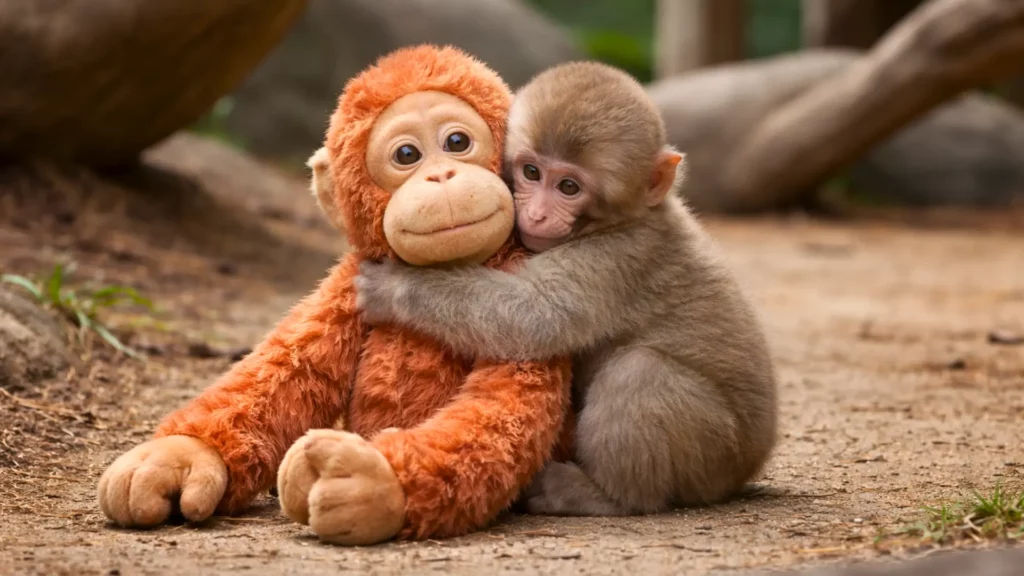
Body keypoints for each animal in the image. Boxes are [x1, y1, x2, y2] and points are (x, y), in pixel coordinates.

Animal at [353, 61, 778, 516]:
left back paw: (604, 494)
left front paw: (392, 287)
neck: (626, 220)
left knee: (640, 372)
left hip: (714, 450)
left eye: (569, 187)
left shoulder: (614, 260)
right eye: (532, 172)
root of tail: (750, 462)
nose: (538, 215)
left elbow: (536, 317)